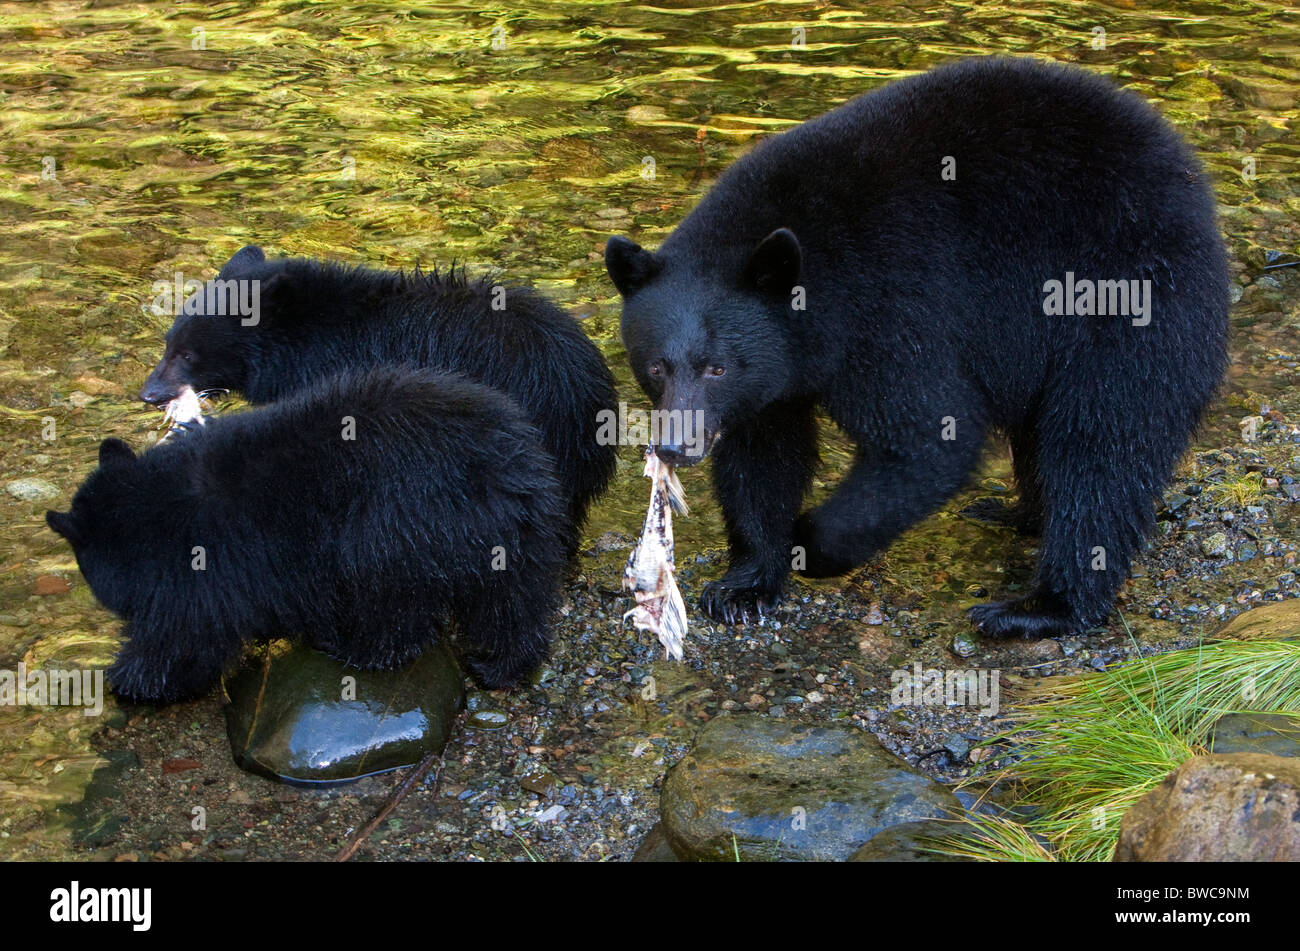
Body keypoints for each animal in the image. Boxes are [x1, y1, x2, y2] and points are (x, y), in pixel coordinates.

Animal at [47, 366, 569, 702]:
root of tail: (498, 466)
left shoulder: (202, 567)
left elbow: (183, 638)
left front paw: (126, 679)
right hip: (519, 533)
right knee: (513, 601)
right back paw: (501, 664)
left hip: (395, 524)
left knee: (391, 598)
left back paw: (357, 649)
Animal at [605, 57, 1229, 639]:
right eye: (656, 366)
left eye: (715, 367)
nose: (676, 447)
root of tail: (1187, 174)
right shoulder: (773, 374)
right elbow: (763, 454)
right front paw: (745, 584)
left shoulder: (892, 307)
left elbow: (929, 435)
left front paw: (809, 539)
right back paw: (1018, 514)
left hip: (1124, 292)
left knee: (1102, 441)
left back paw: (1041, 607)